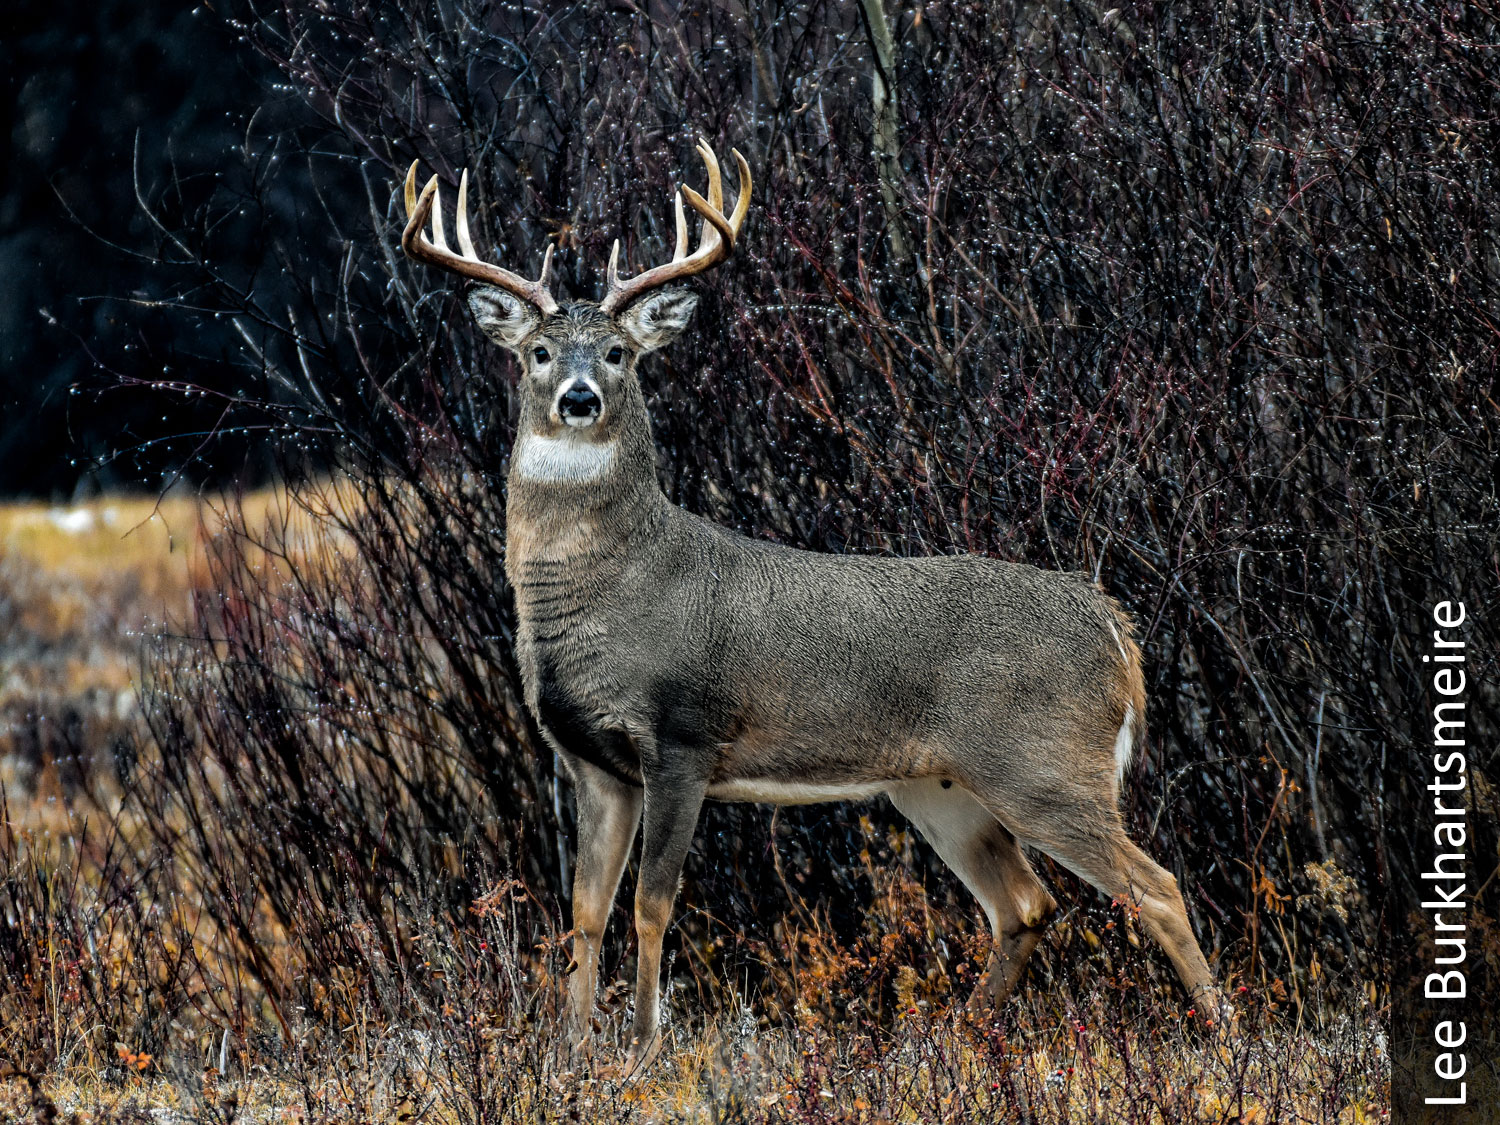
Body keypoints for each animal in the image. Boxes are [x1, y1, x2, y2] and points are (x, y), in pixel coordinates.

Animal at [396, 143, 1230, 1074]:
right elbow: (584, 911)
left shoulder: (683, 736)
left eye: (617, 351)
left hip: (1045, 762)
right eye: (539, 351)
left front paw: (645, 1048)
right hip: (938, 784)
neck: (615, 590)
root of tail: (1115, 628)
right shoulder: (591, 761)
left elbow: (652, 903)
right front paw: (571, 1054)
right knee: (1024, 905)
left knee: (1155, 887)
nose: (579, 397)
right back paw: (947, 1043)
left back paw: (1225, 1041)